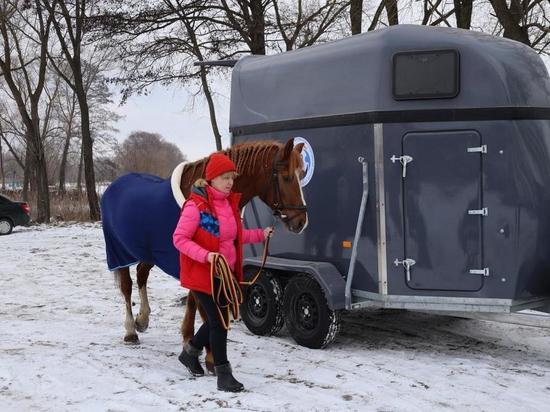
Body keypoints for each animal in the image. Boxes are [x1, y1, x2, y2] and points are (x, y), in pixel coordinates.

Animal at [101, 139, 308, 374]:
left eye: (301, 174)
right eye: (286, 177)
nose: (301, 221)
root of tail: (114, 186)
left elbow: (194, 304)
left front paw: (190, 343)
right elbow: (204, 309)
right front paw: (209, 357)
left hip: (148, 252)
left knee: (141, 275)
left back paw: (142, 320)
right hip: (119, 252)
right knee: (126, 287)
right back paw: (130, 331)